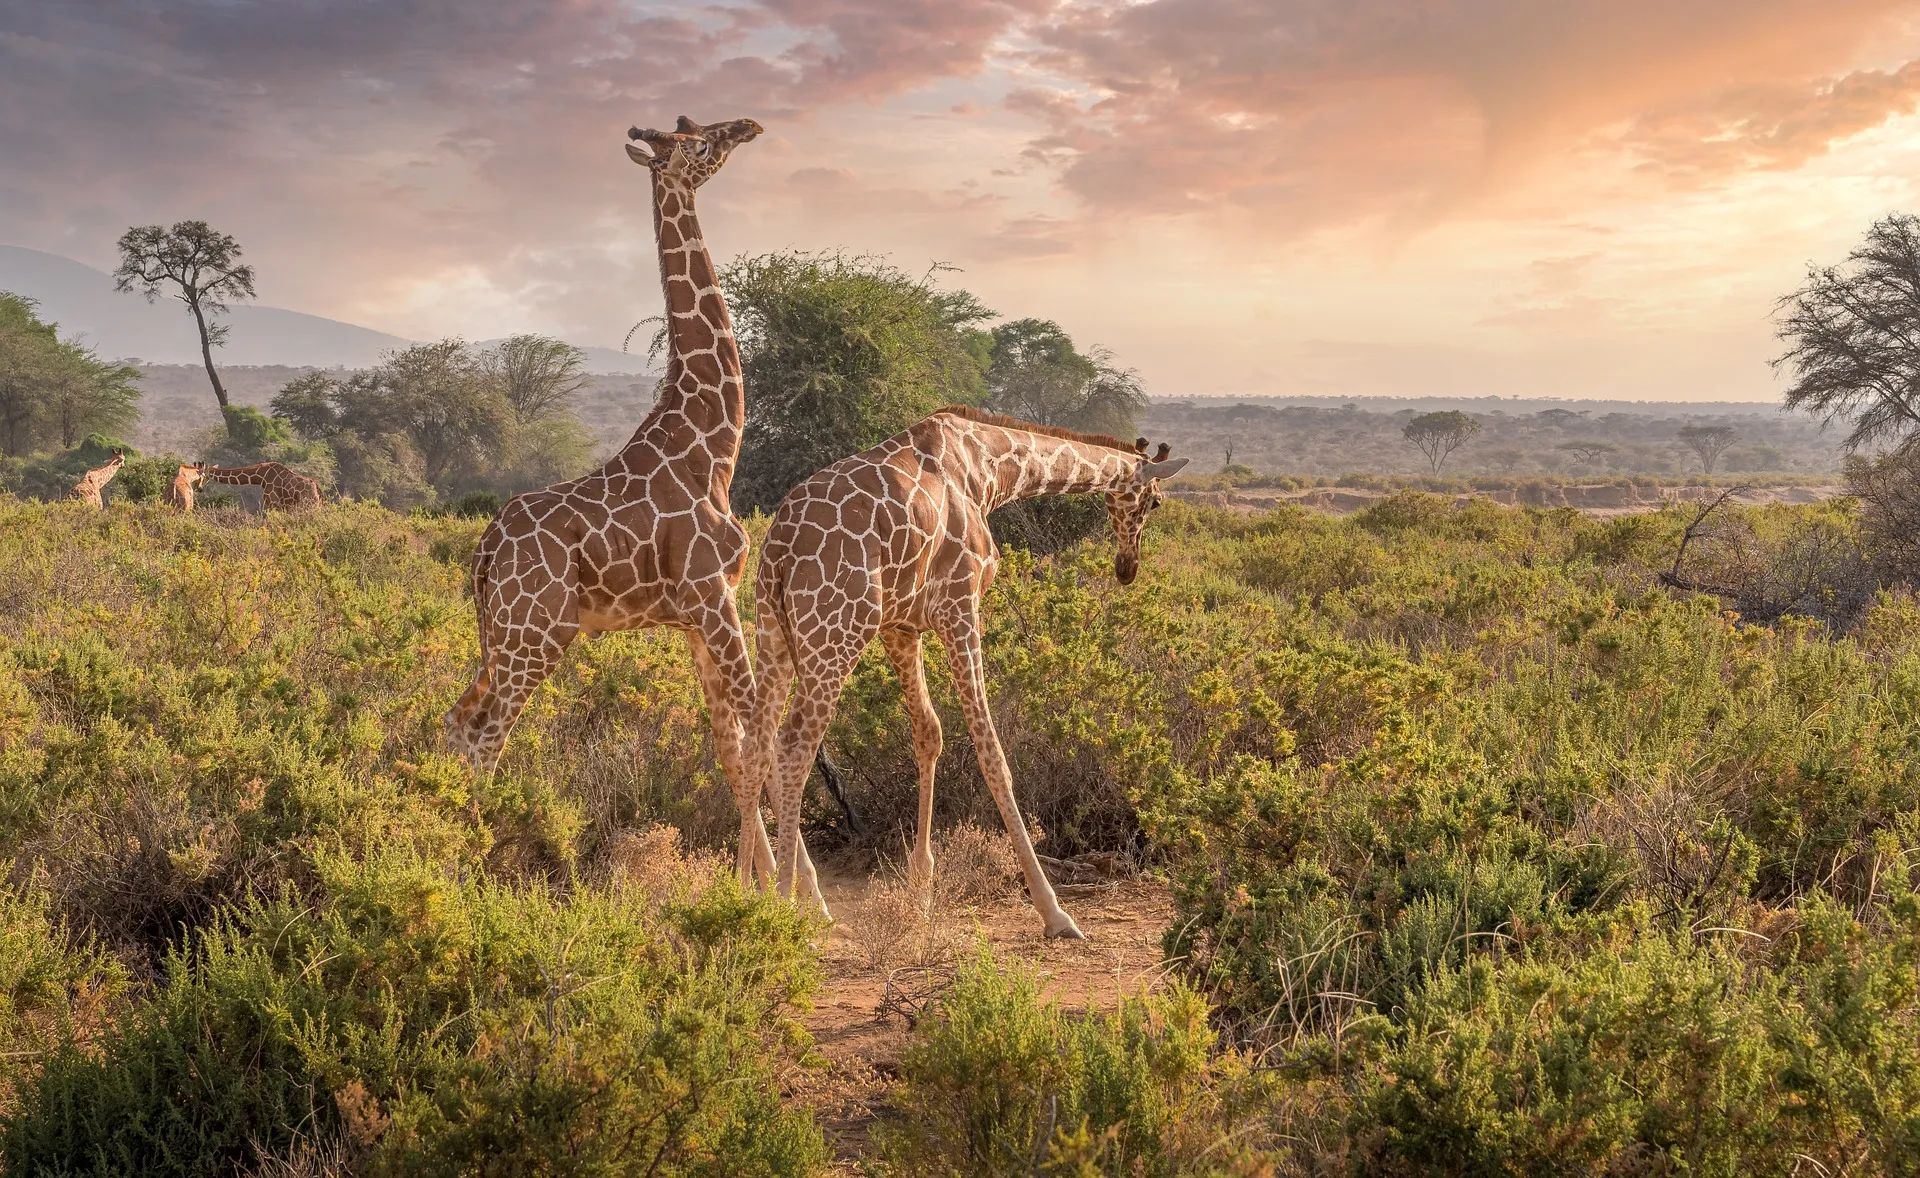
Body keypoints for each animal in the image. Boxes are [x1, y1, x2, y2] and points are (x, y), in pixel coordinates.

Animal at [441, 115, 787, 886]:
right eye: (698, 143)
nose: (749, 126)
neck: (712, 447)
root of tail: (484, 552)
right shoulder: (714, 598)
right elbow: (759, 733)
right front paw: (791, 892)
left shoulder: (694, 618)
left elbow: (730, 747)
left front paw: (749, 882)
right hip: (537, 634)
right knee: (485, 734)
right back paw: (468, 869)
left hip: (501, 635)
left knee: (457, 718)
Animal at [748, 408, 1182, 940]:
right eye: (1155, 502)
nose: (1127, 568)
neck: (989, 470)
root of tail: (778, 549)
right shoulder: (959, 603)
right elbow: (990, 749)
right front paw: (1053, 910)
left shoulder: (901, 625)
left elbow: (929, 733)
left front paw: (920, 890)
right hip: (836, 631)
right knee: (793, 748)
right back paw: (788, 905)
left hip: (773, 632)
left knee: (756, 744)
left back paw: (748, 889)